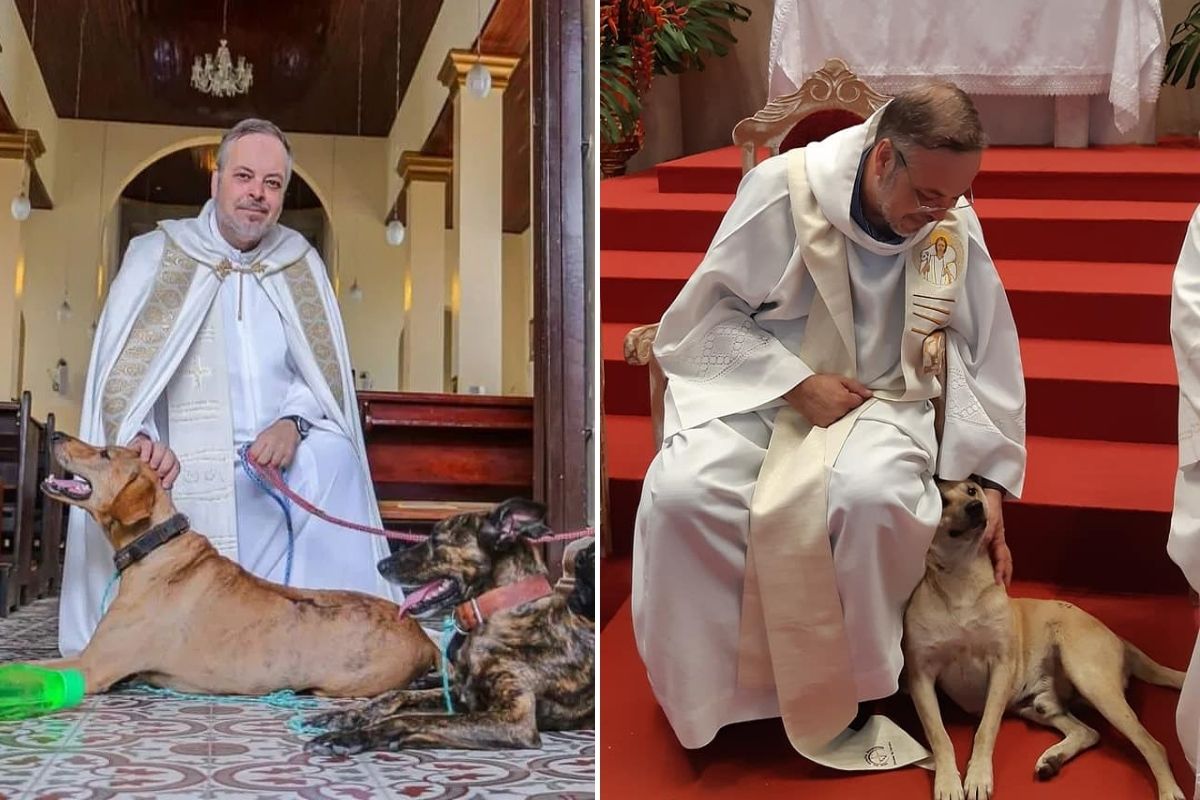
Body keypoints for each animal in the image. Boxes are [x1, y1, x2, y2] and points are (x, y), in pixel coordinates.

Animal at [30, 431, 439, 700]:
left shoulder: (92, 667)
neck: (157, 545)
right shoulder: (87, 657)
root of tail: (423, 638)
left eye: (104, 454)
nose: (56, 435)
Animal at [304, 496, 595, 753]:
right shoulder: (460, 695)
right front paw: (346, 715)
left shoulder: (514, 721)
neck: (496, 611)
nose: (381, 564)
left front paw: (353, 736)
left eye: (435, 540)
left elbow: (407, 718)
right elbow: (396, 696)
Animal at [902, 479, 1185, 800]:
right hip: (1039, 706)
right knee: (1089, 732)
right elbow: (940, 736)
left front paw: (978, 777)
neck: (961, 576)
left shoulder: (1000, 668)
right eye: (941, 499)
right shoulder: (921, 677)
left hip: (1092, 681)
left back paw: (1168, 790)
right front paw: (948, 782)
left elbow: (985, 730)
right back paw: (1053, 759)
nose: (975, 507)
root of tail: (1119, 638)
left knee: (1154, 745)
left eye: (972, 490)